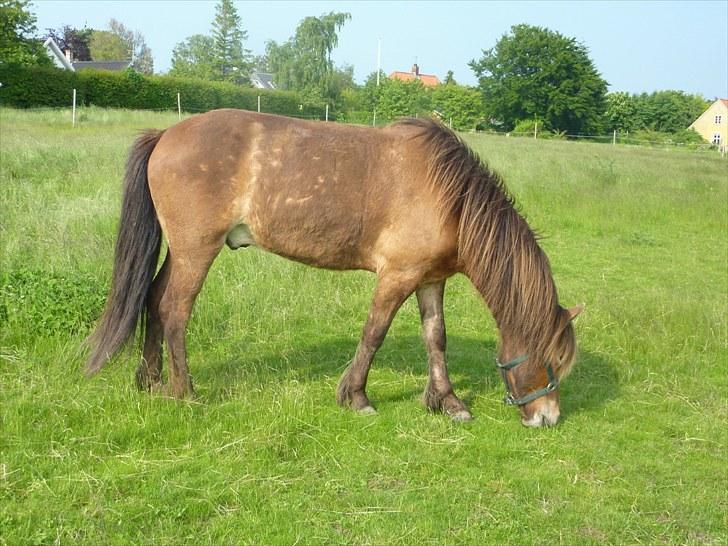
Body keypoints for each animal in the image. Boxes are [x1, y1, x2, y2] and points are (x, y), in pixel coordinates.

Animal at [85, 110, 584, 424]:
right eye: (554, 361)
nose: (548, 418)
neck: (450, 197)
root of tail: (166, 135)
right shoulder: (396, 276)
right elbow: (374, 333)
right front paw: (356, 397)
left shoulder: (430, 279)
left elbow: (435, 338)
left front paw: (447, 402)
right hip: (196, 251)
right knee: (175, 310)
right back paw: (184, 391)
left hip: (181, 251)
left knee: (153, 299)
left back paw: (150, 382)